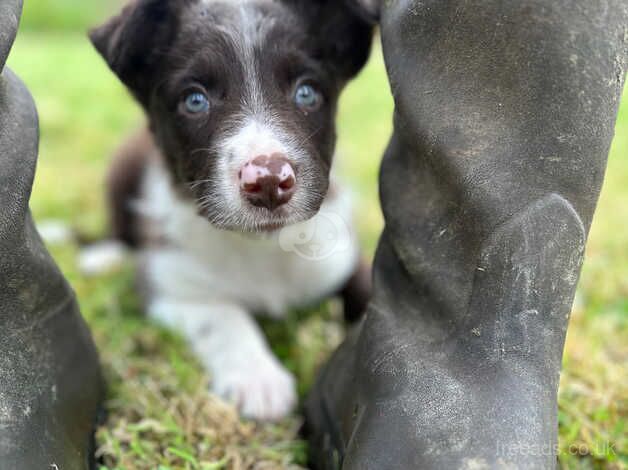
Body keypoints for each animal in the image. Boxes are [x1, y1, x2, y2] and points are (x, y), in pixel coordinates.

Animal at [88, 0, 372, 418]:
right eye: (195, 100)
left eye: (307, 93)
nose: (268, 181)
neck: (261, 248)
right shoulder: (169, 285)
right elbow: (223, 315)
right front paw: (258, 379)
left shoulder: (342, 258)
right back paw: (102, 256)